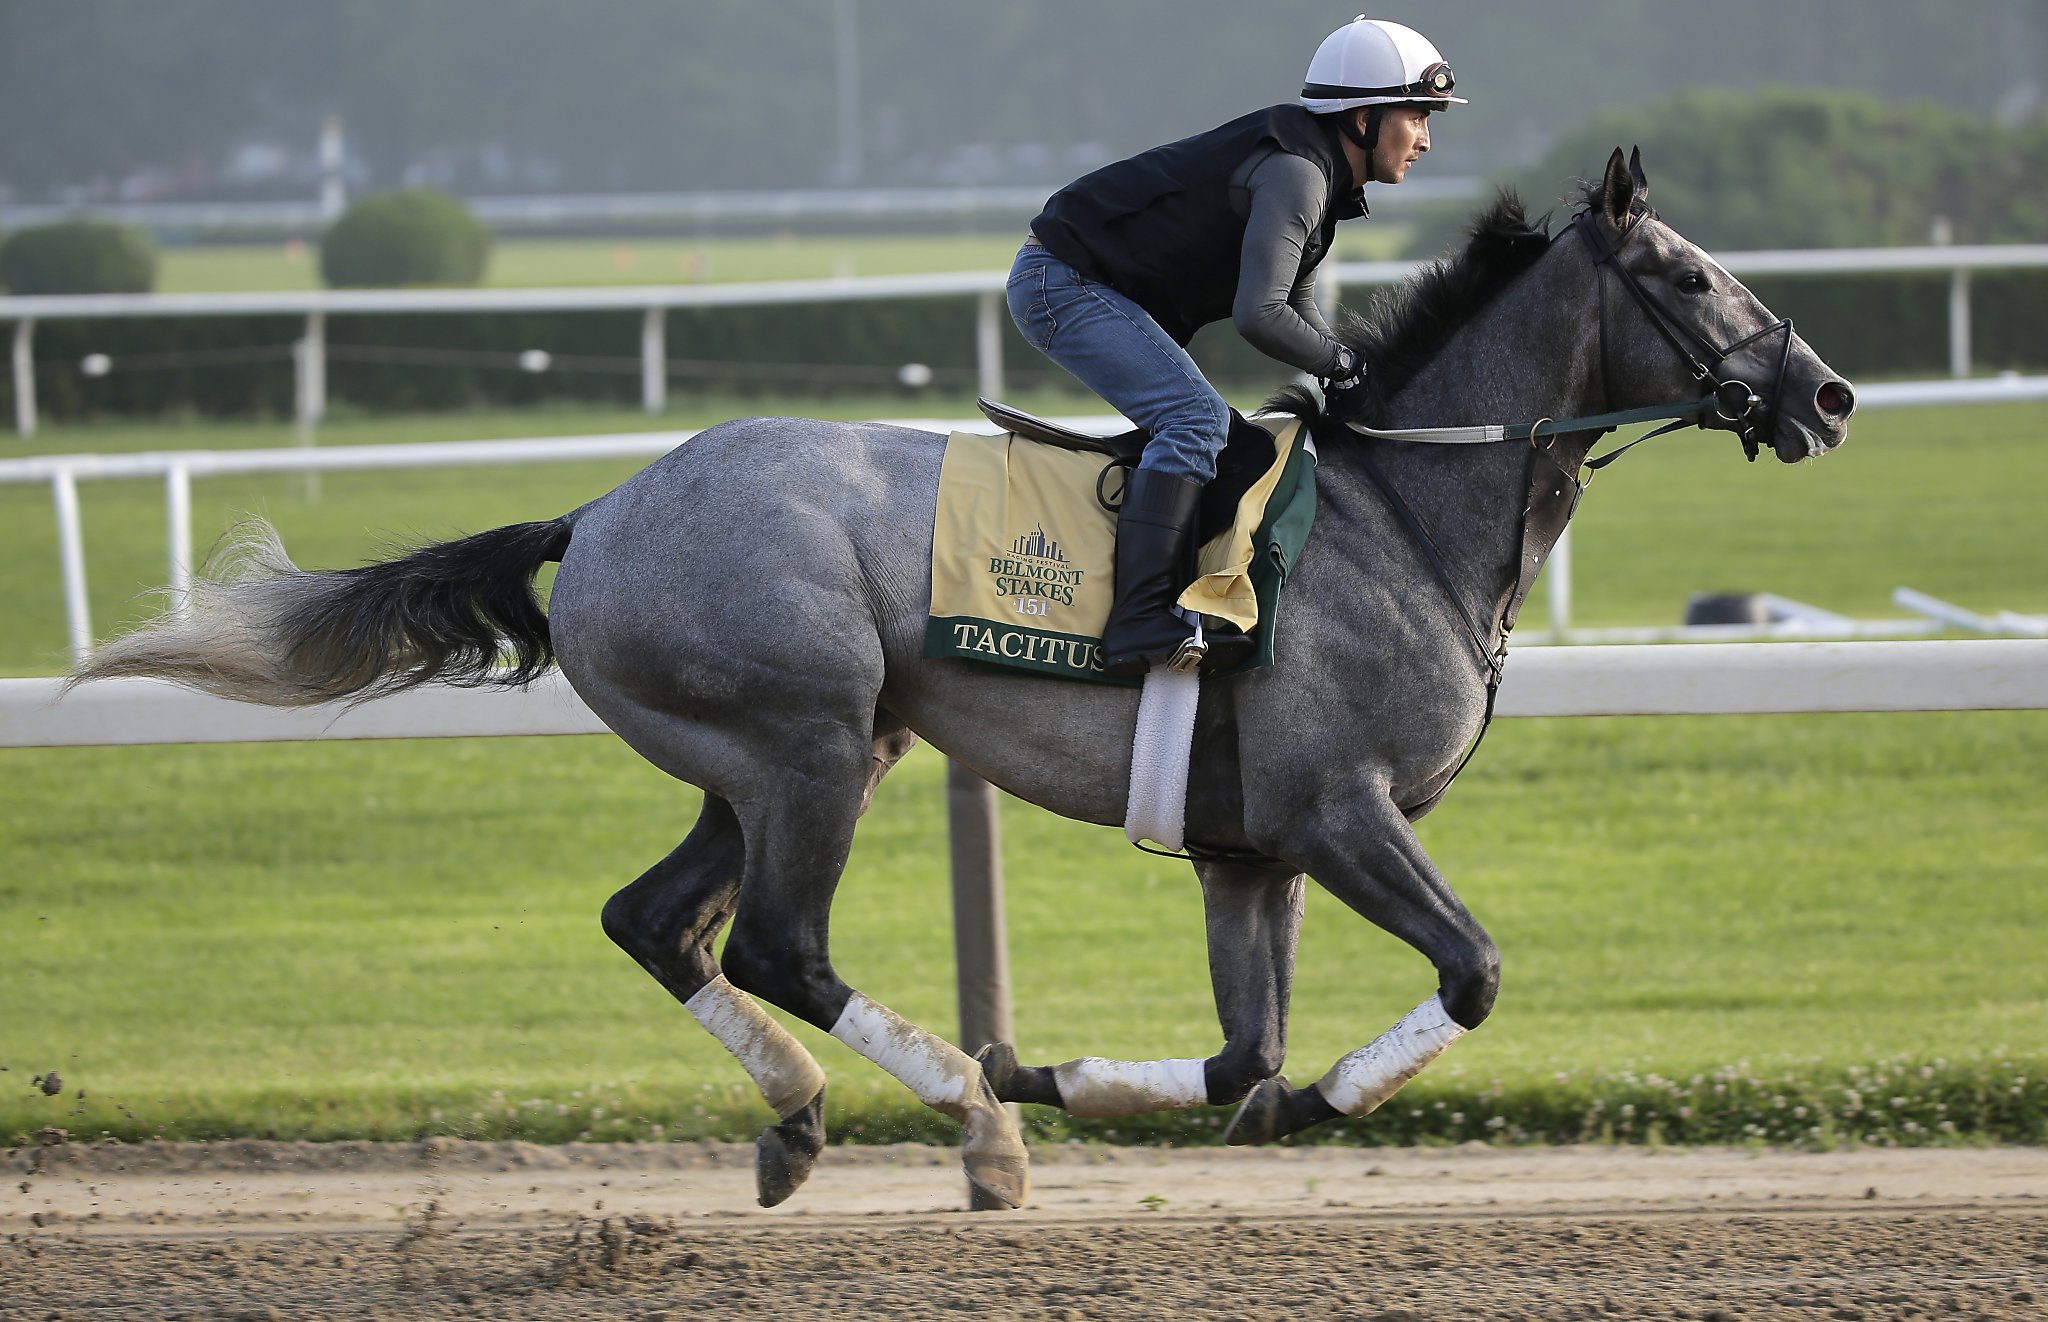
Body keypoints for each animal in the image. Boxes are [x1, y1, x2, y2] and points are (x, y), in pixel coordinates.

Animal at [72, 152, 1851, 1211]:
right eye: (1690, 277)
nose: (1827, 392)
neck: (1407, 517)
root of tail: (607, 507)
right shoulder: (1342, 811)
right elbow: (1469, 972)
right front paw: (1122, 1088)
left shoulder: (1250, 850)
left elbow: (1242, 1060)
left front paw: (1106, 1081)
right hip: (798, 740)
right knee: (778, 945)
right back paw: (974, 1120)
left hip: (796, 754)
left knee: (661, 924)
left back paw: (810, 1121)